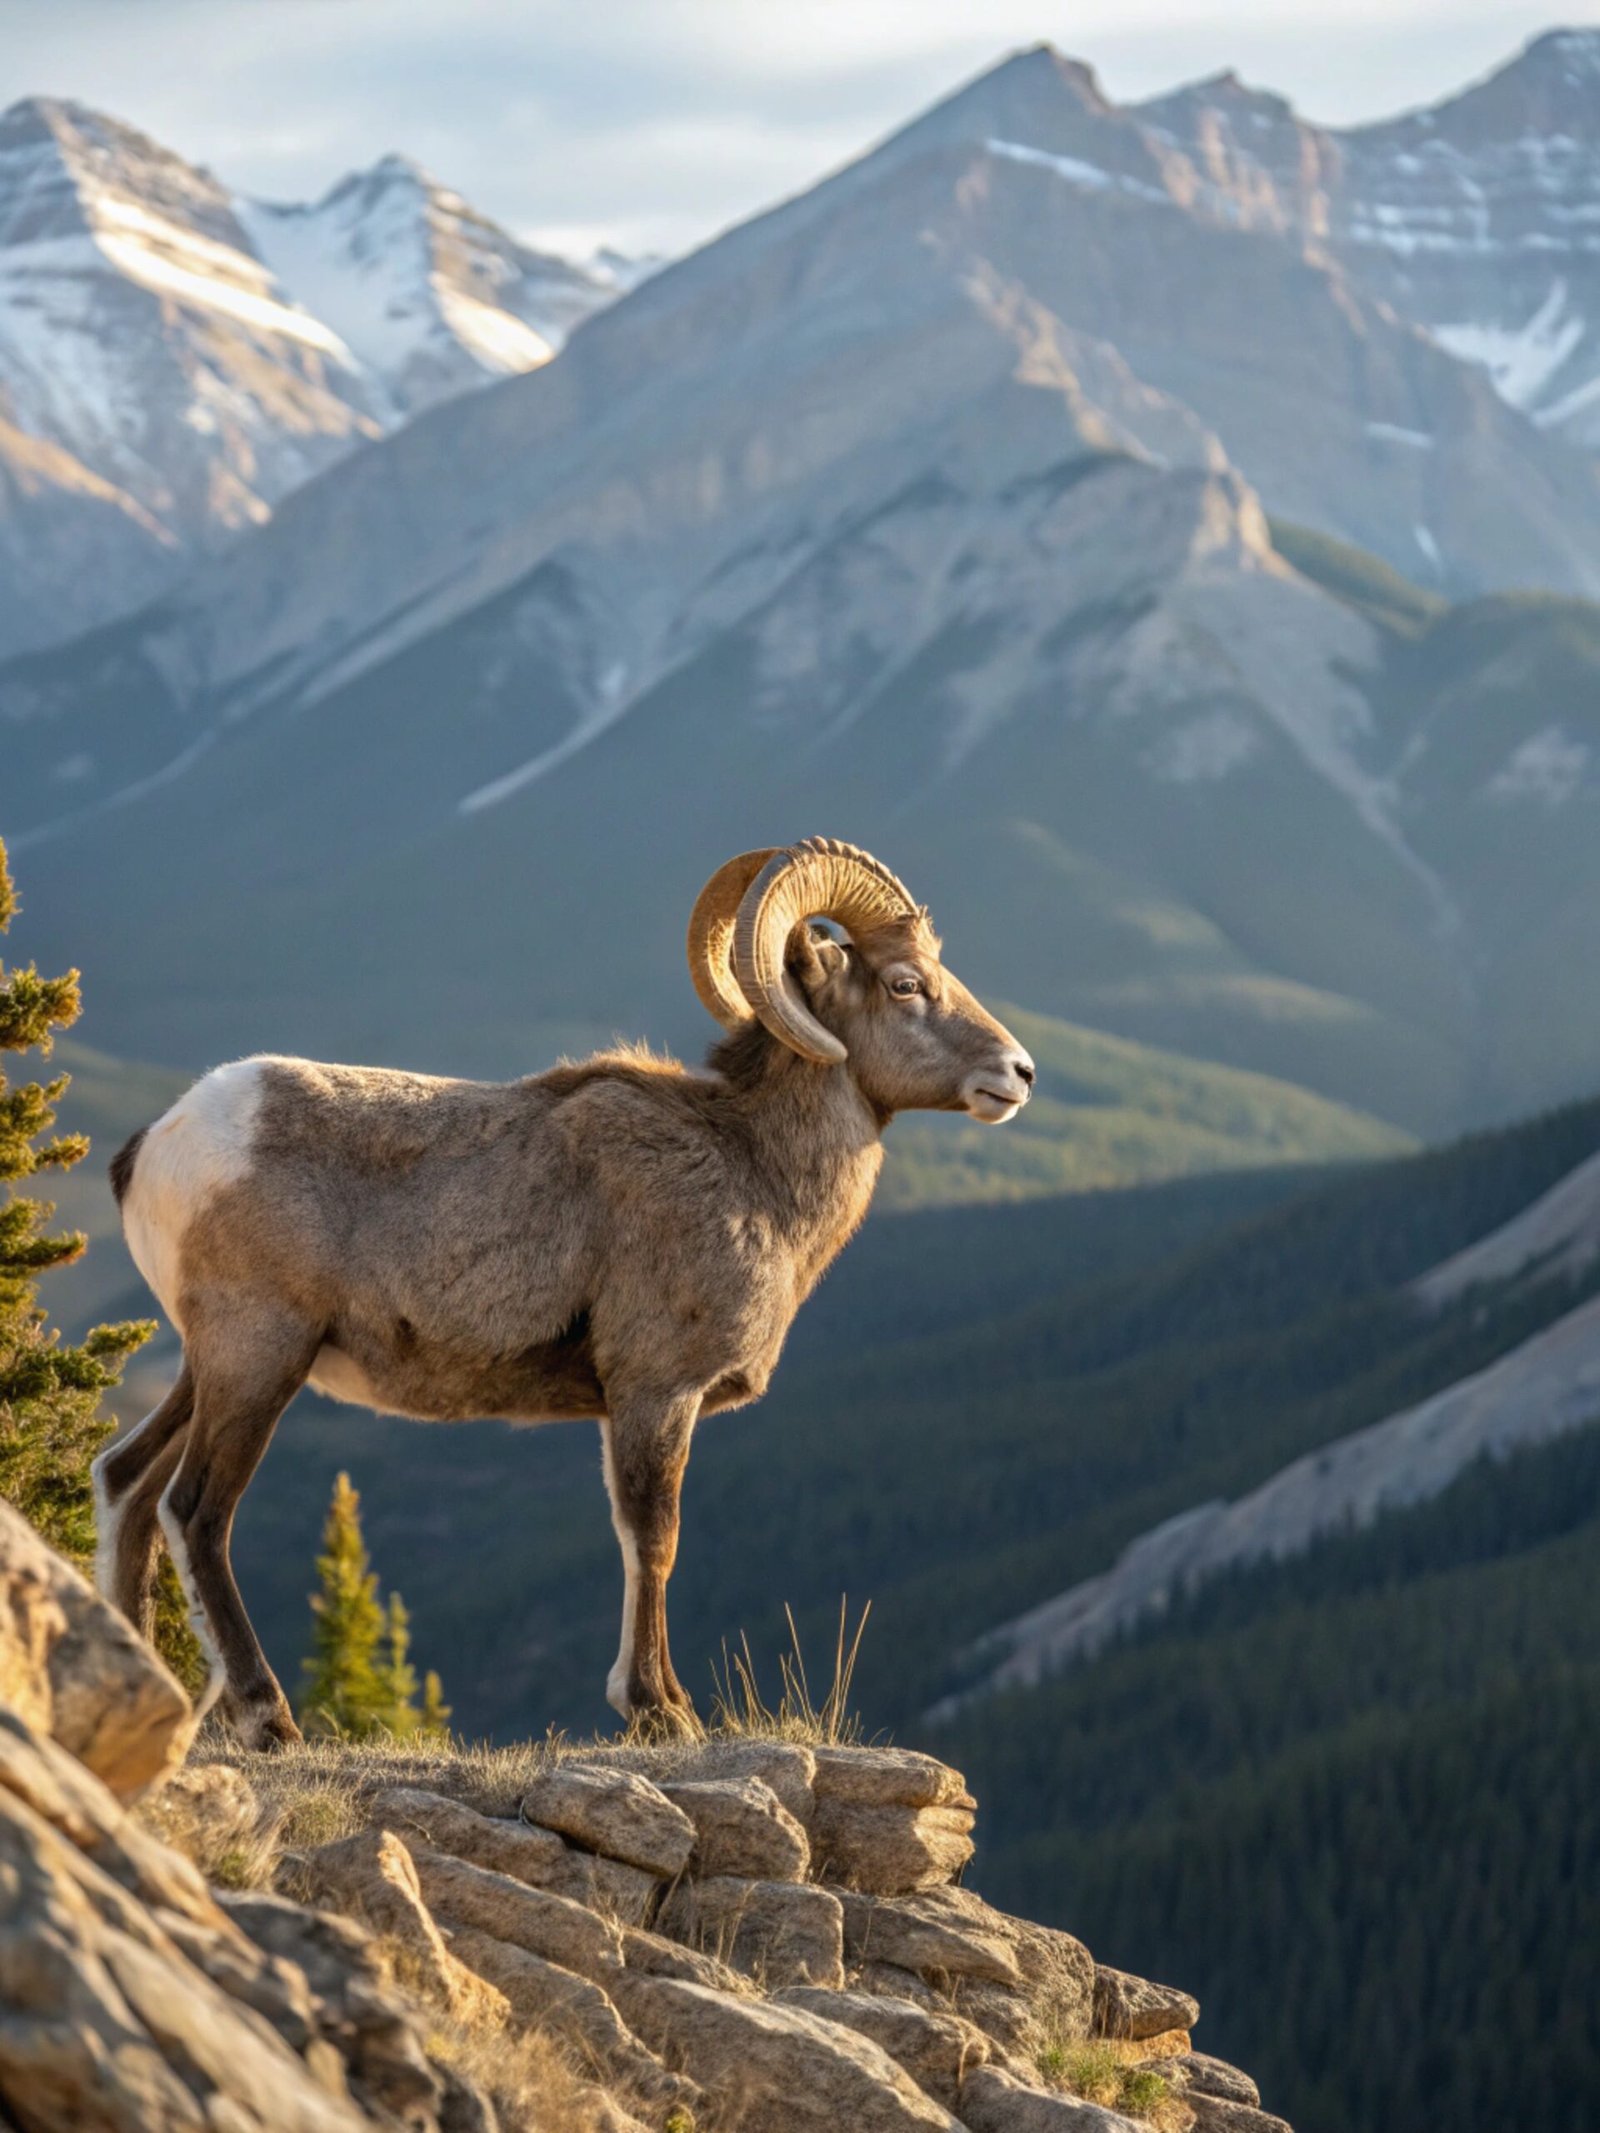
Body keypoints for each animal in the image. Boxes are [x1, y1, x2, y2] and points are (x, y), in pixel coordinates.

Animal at [93, 837, 1035, 1746]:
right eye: (906, 983)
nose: (1019, 1073)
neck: (750, 1168)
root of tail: (157, 1145)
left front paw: (661, 1702)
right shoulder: (656, 1391)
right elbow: (654, 1538)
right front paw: (660, 1711)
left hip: (210, 1367)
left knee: (126, 1484)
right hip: (259, 1359)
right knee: (196, 1511)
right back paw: (267, 1717)